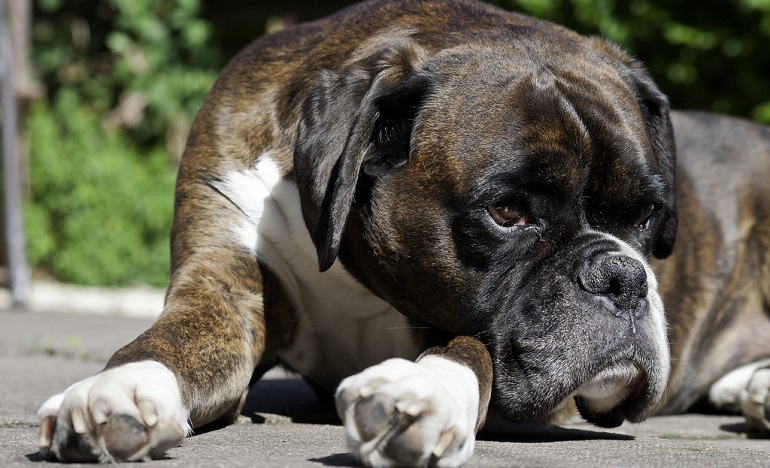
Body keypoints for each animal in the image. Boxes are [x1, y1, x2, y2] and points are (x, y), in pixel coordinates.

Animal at [36, 0, 768, 466]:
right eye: (508, 213)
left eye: (647, 217)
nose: (621, 277)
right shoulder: (224, 282)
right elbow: (171, 341)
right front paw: (120, 390)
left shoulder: (477, 331)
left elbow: (470, 348)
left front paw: (420, 393)